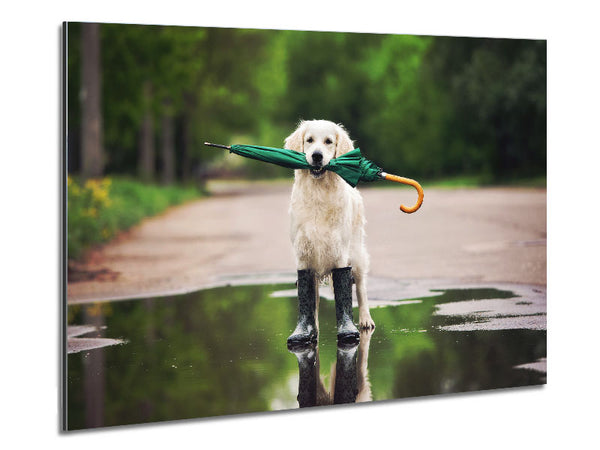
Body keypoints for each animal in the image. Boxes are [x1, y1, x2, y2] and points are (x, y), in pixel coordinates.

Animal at [284, 118, 372, 346]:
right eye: (309, 140)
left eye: (329, 142)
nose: (317, 156)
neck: (318, 192)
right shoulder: (303, 253)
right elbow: (307, 298)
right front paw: (307, 331)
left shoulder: (339, 251)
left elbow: (346, 290)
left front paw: (347, 329)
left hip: (357, 254)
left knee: (361, 288)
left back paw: (365, 320)